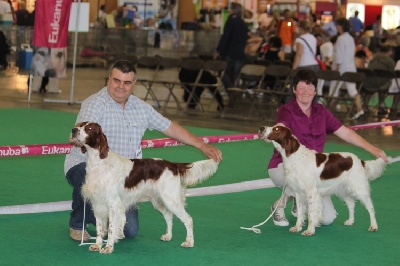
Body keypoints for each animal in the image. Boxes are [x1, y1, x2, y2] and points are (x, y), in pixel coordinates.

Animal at [71, 122, 219, 254]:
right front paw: (97, 245)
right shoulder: (97, 203)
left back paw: (189, 242)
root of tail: (173, 165)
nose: (74, 130)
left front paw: (108, 247)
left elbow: (112, 228)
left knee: (188, 219)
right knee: (168, 215)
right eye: (80, 125)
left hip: (171, 199)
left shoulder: (113, 204)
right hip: (158, 201)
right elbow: (100, 229)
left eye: (89, 128)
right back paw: (168, 236)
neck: (99, 163)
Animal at [258, 125, 398, 236]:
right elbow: (300, 212)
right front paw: (297, 227)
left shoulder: (311, 192)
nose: (261, 128)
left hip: (359, 188)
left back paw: (374, 226)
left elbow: (311, 213)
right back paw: (350, 221)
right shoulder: (298, 192)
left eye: (276, 129)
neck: (294, 156)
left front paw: (309, 230)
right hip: (343, 190)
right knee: (351, 204)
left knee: (370, 207)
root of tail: (360, 161)